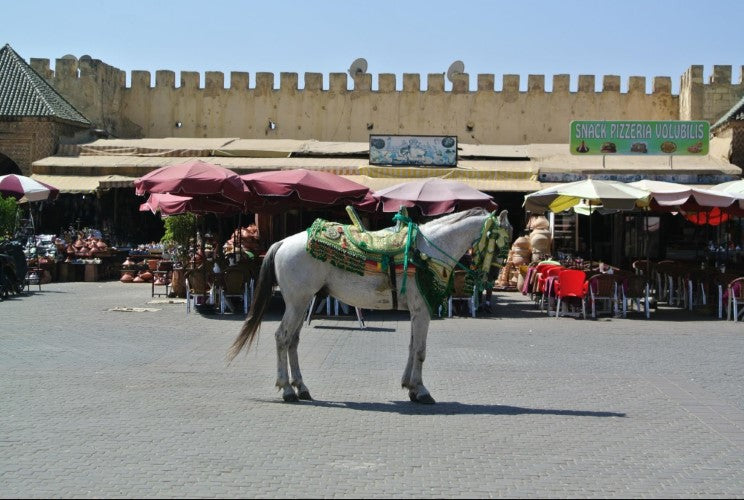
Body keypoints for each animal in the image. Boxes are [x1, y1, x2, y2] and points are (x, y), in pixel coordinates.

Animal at [228, 206, 512, 402]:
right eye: (501, 241)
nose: (493, 277)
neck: (427, 251)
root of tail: (283, 242)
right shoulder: (422, 311)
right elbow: (420, 350)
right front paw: (421, 391)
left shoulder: (416, 312)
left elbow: (412, 348)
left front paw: (410, 386)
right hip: (297, 302)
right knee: (282, 337)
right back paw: (287, 389)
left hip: (302, 302)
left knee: (292, 341)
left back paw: (301, 388)